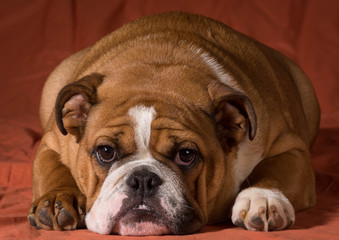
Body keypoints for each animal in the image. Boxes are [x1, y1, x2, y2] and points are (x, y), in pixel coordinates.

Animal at [27, 11, 320, 234]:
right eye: (106, 152)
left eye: (186, 155)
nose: (142, 179)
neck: (156, 70)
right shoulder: (53, 142)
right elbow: (52, 169)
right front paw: (57, 199)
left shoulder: (289, 147)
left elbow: (276, 169)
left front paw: (263, 198)